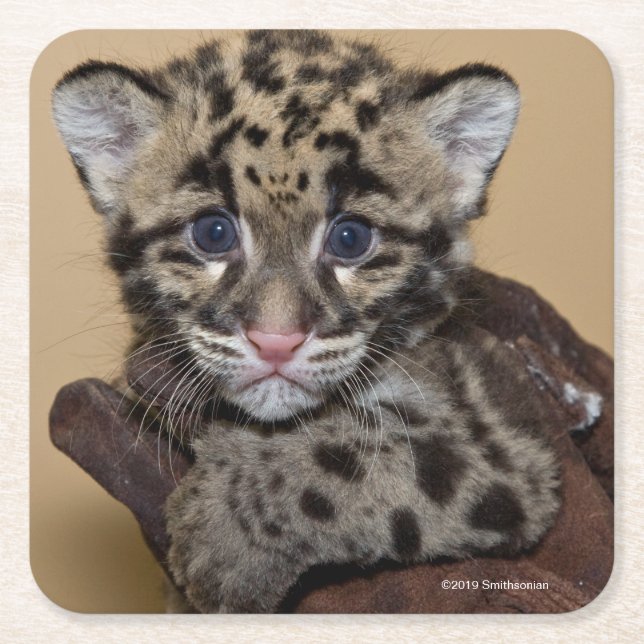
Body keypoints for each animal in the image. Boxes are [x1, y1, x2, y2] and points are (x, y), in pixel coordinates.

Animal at [51, 30, 560, 613]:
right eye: (212, 233)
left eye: (351, 238)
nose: (276, 340)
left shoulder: (508, 434)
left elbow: (368, 458)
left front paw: (225, 531)